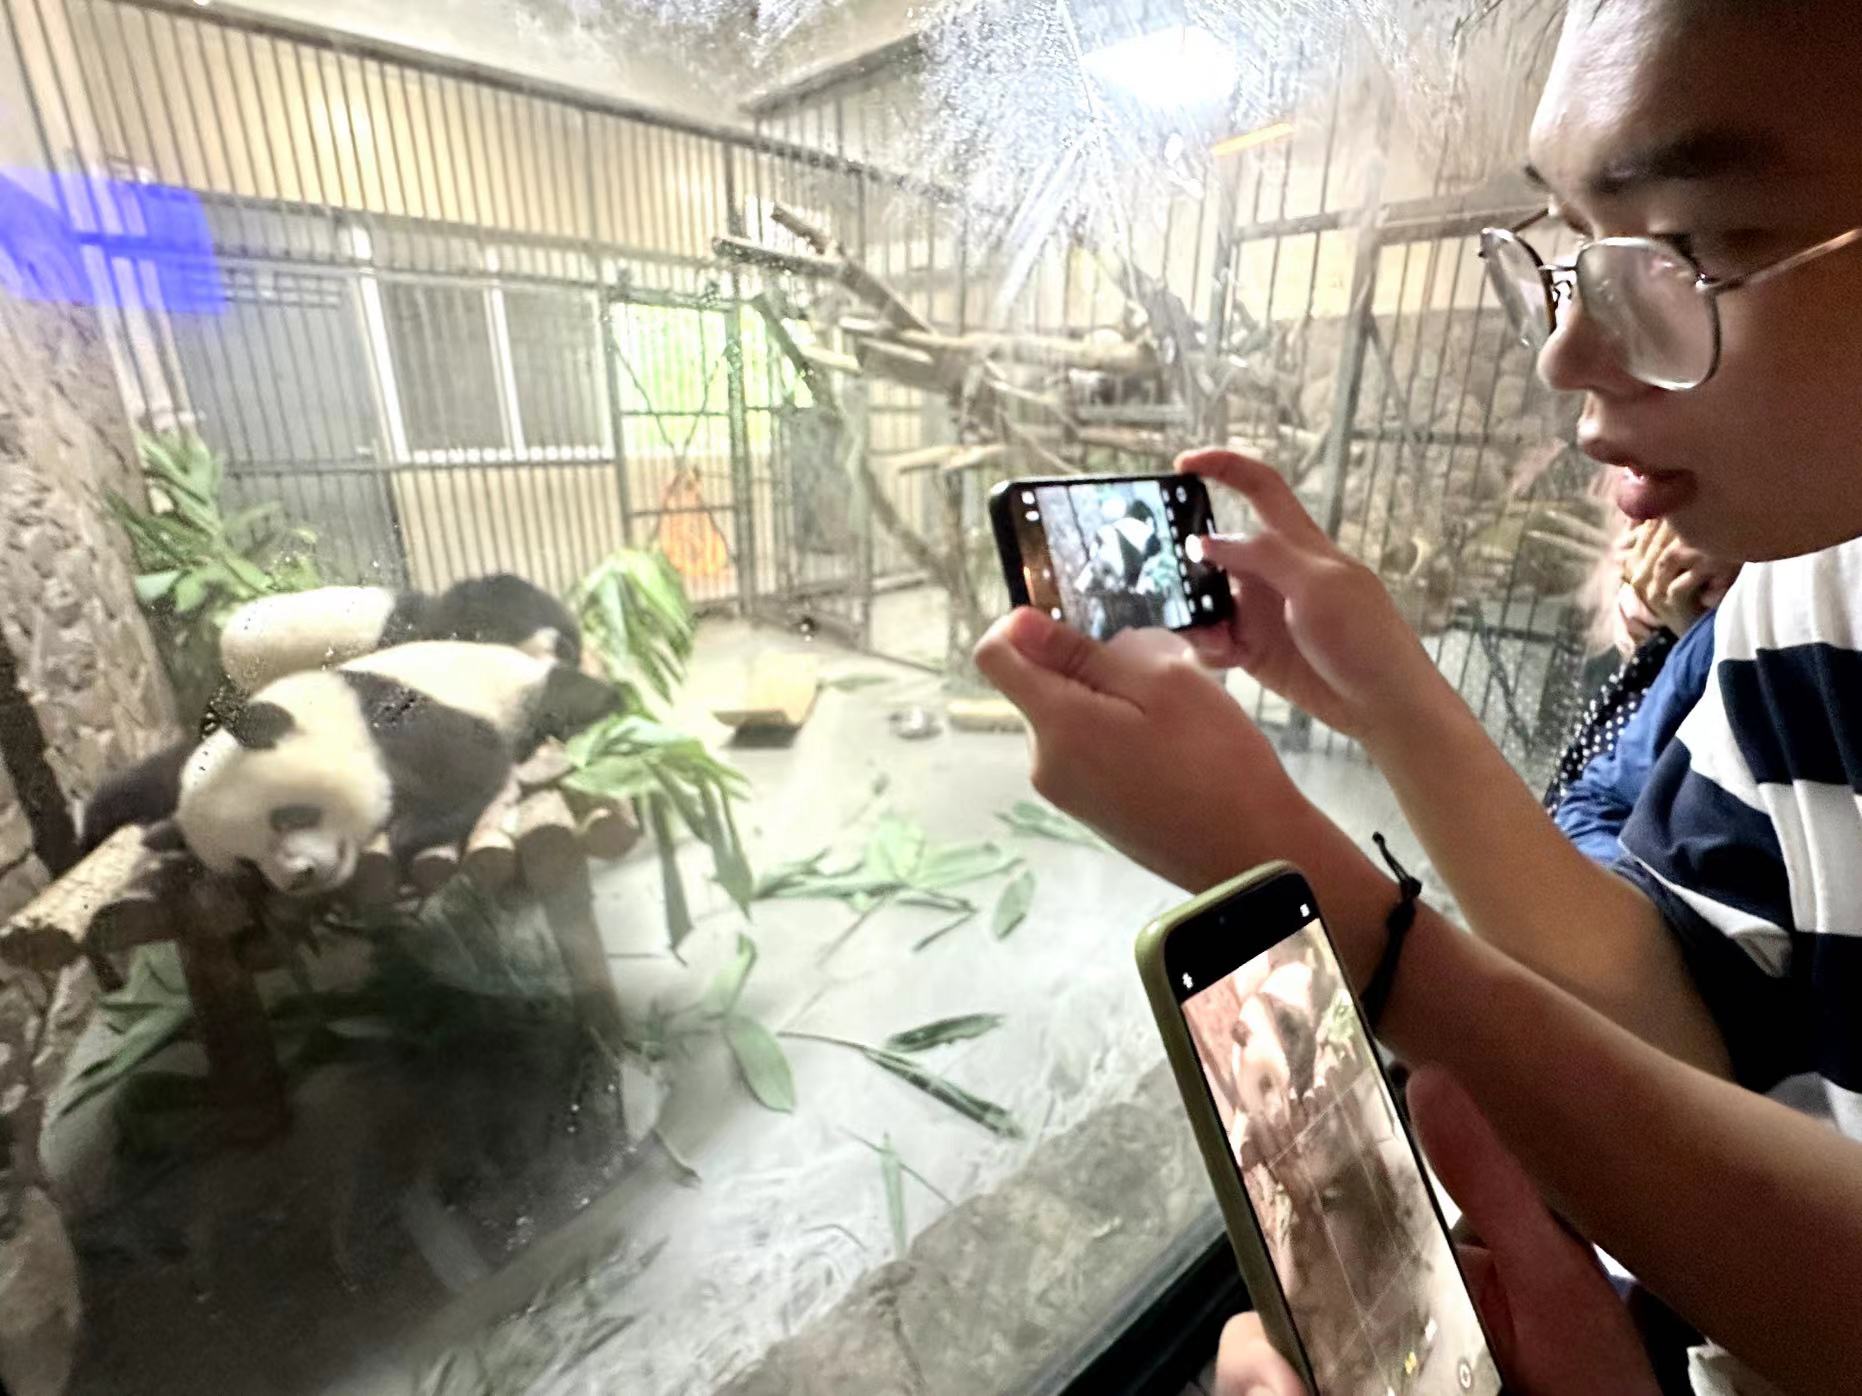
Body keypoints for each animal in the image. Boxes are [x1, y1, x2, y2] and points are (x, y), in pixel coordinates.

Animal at [98, 642, 618, 895]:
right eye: (245, 863)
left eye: (291, 816)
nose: (298, 878)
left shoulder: (396, 717)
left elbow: (470, 762)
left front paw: (409, 828)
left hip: (523, 688)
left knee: (577, 698)